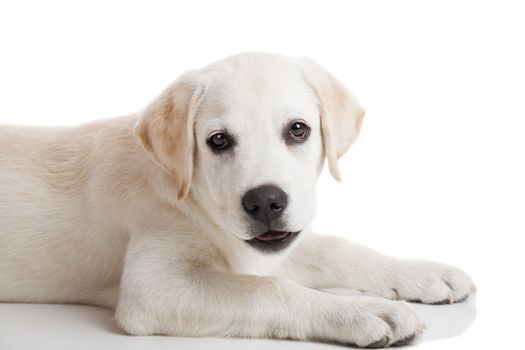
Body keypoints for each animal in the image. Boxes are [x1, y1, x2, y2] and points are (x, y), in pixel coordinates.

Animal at [0, 52, 474, 348]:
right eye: (219, 141)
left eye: (298, 130)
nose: (265, 202)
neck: (192, 199)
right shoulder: (153, 288)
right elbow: (271, 290)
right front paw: (364, 312)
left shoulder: (268, 249)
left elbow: (339, 248)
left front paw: (423, 273)